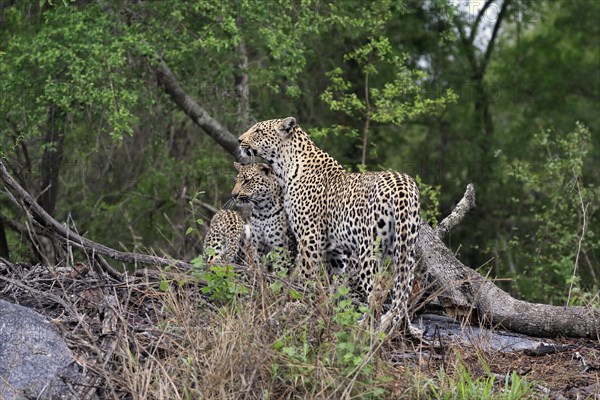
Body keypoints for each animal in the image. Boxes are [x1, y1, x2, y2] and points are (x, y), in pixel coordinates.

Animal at [239, 115, 422, 332]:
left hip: (370, 248)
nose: (239, 140)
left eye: (258, 131)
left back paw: (365, 328)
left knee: (377, 291)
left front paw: (301, 304)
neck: (285, 167)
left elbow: (307, 274)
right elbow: (333, 281)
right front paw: (328, 310)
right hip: (405, 248)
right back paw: (395, 326)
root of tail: (402, 183)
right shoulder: (334, 249)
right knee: (404, 288)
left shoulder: (309, 235)